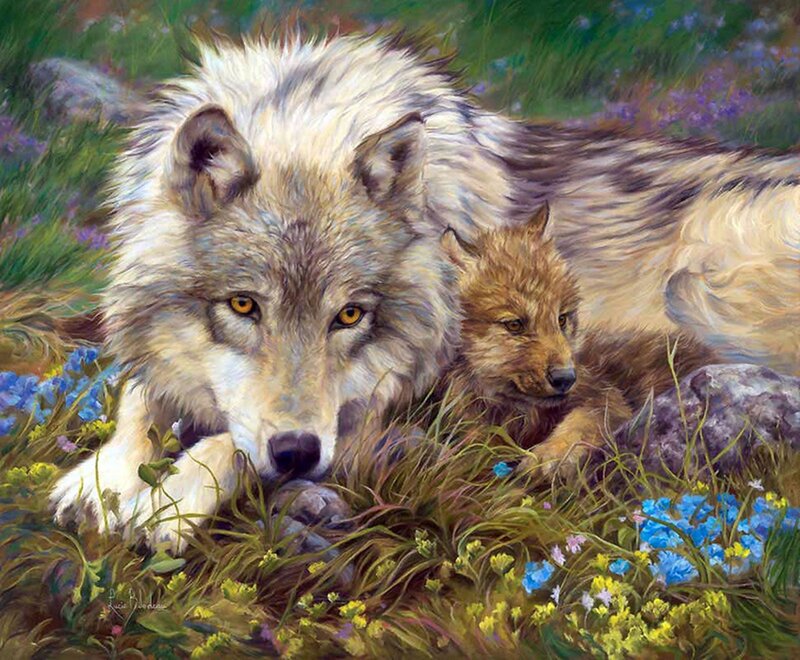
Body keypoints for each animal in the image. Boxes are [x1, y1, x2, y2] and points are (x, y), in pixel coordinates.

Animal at [441, 204, 718, 476]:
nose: (565, 378)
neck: (521, 413)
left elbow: (578, 425)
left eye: (562, 319)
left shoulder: (605, 397)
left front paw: (548, 458)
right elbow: (472, 444)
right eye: (515, 325)